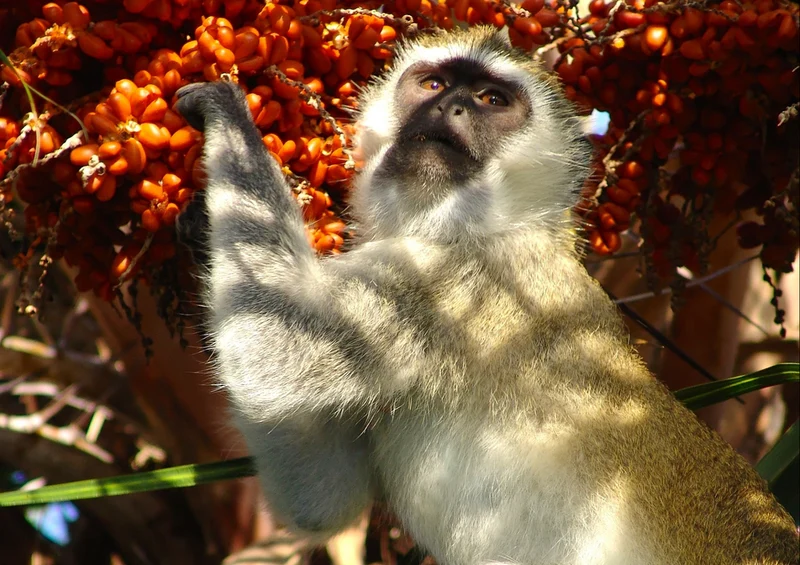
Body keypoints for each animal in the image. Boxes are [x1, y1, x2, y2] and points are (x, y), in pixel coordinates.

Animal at [175, 26, 799, 565]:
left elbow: (271, 348)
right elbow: (322, 499)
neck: (490, 224)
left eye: (491, 99)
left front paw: (223, 113)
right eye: (432, 85)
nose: (446, 108)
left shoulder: (458, 284)